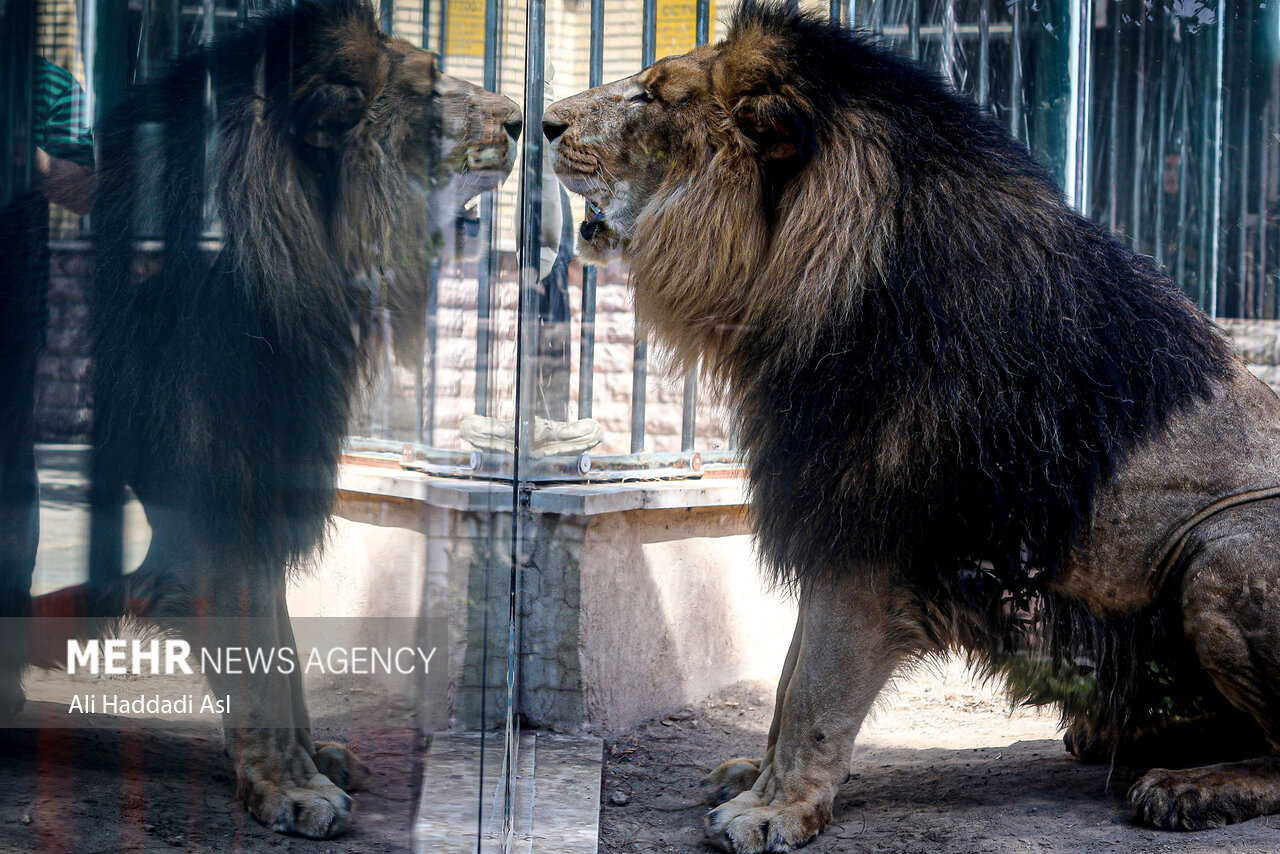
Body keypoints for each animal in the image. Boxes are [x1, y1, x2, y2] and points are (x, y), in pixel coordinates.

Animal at [1, 0, 519, 839]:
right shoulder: (213, 507)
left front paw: (313, 761)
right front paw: (293, 788)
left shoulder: (264, 488)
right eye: (427, 91)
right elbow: (258, 665)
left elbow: (284, 651)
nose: (520, 120)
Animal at [545, 3, 1280, 850]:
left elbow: (815, 691)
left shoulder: (867, 533)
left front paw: (772, 808)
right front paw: (757, 779)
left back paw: (1190, 788)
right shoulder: (831, 515)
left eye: (653, 95)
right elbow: (790, 680)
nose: (544, 122)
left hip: (1221, 551)